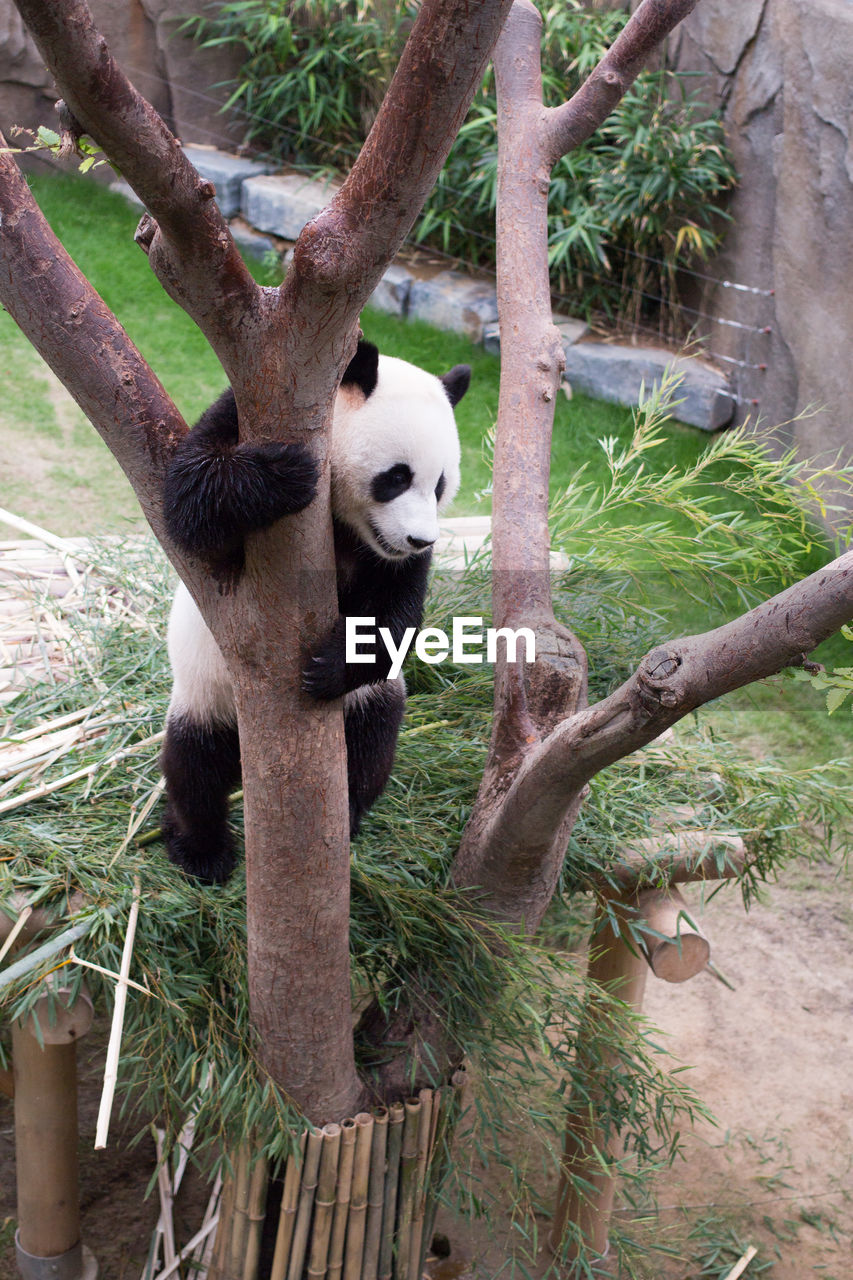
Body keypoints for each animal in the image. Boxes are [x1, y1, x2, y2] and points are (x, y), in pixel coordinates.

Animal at [159, 335, 471, 885]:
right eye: (396, 477)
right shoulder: (240, 412)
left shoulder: (390, 560)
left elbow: (400, 611)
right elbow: (188, 497)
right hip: (206, 692)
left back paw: (346, 817)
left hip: (367, 704)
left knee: (370, 743)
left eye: (439, 485)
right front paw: (282, 475)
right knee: (193, 765)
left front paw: (327, 668)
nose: (418, 539)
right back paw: (200, 849)